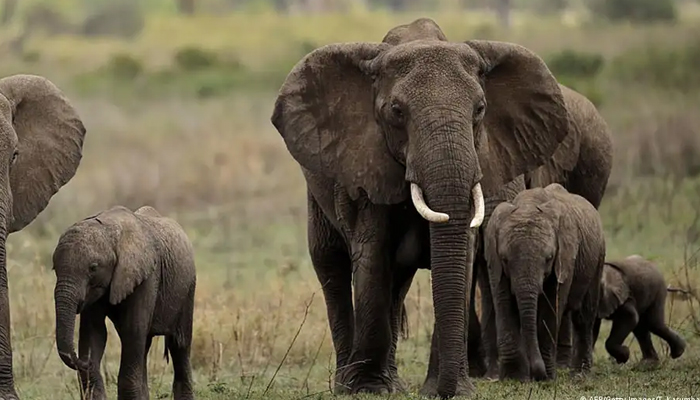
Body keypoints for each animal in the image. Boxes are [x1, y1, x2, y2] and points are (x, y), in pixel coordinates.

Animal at [52, 205, 197, 400]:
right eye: (54, 268)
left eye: (93, 268)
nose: (83, 360)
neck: (110, 230)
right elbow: (94, 331)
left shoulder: (147, 276)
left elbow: (132, 330)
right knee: (144, 346)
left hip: (188, 289)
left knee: (179, 344)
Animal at [271, 17, 575, 397]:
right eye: (396, 112)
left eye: (480, 110)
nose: (444, 391)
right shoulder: (367, 164)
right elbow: (372, 256)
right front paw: (369, 389)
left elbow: (462, 256)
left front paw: (451, 390)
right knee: (330, 262)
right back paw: (348, 384)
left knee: (397, 282)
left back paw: (394, 383)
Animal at [484, 183, 605, 381]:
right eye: (505, 259)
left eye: (549, 258)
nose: (536, 374)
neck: (528, 205)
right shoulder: (494, 260)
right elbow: (504, 302)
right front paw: (513, 378)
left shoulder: (565, 256)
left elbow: (550, 308)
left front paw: (546, 377)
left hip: (598, 257)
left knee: (584, 316)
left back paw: (579, 375)